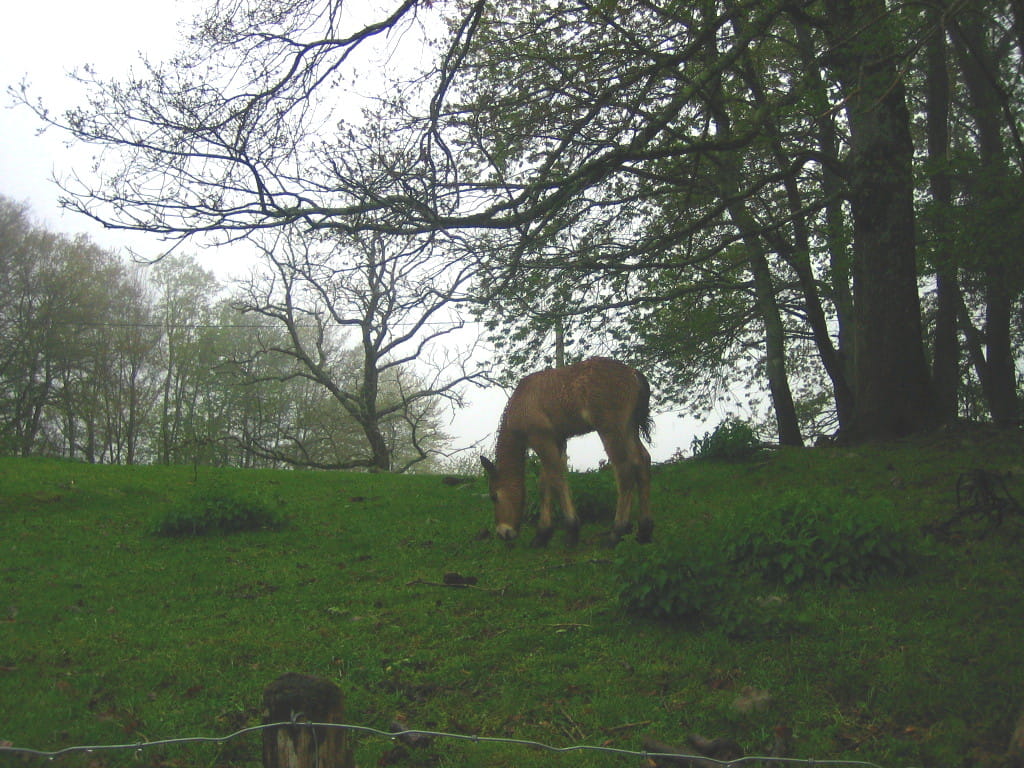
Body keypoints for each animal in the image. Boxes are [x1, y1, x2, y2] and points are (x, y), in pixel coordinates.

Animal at [480, 357, 654, 546]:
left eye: (494, 496)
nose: (503, 532)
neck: (519, 403)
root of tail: (634, 374)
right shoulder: (556, 440)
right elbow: (545, 483)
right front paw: (542, 534)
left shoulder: (540, 438)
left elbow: (557, 479)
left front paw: (571, 529)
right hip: (630, 427)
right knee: (642, 461)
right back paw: (644, 531)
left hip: (610, 428)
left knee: (624, 470)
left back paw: (616, 532)